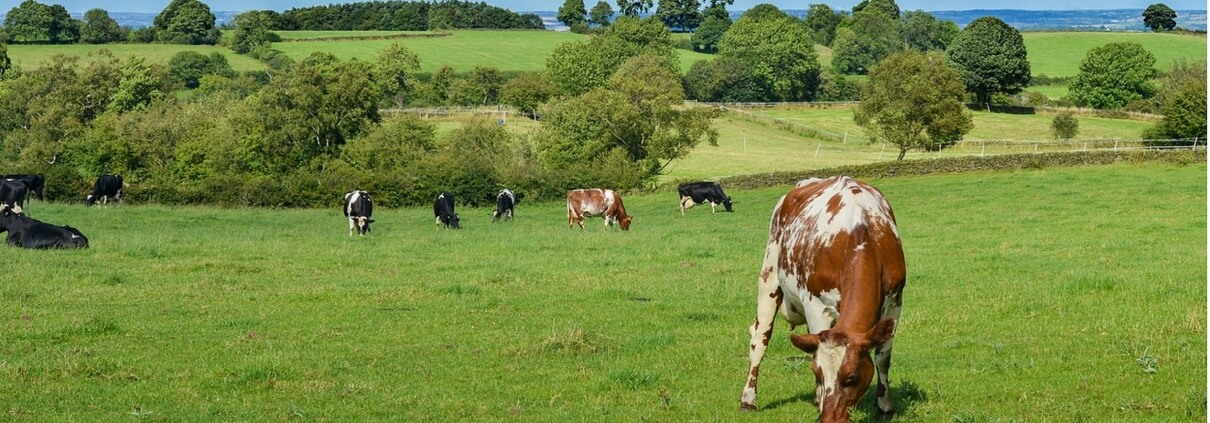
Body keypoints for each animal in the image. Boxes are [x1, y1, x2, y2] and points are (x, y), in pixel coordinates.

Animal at [735, 176, 909, 423]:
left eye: (851, 377)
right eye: (817, 372)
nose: (829, 419)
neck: (861, 231)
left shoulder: (895, 302)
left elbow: (883, 358)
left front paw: (885, 407)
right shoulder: (816, 305)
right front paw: (820, 398)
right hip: (769, 277)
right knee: (759, 339)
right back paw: (748, 399)